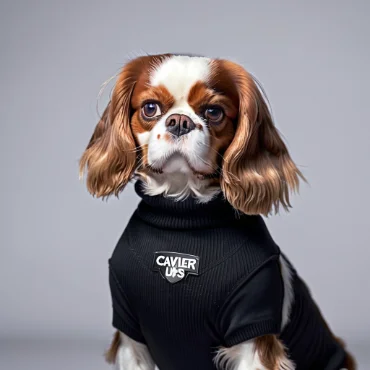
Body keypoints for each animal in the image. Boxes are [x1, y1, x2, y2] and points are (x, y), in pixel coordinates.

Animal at [79, 53, 356, 368]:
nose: (179, 121)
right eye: (150, 108)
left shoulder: (253, 331)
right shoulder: (130, 335)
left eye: (214, 112)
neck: (183, 215)